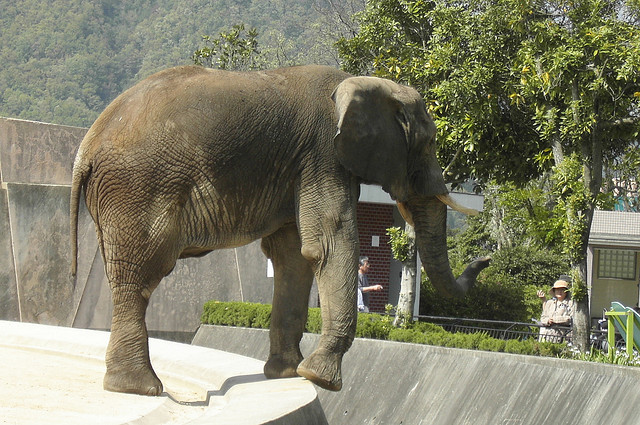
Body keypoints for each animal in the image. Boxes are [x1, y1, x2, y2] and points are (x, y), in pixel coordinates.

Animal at [70, 64, 488, 396]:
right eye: (430, 142)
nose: (485, 257)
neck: (364, 81)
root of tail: (84, 149)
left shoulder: (300, 168)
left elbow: (294, 257)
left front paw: (287, 374)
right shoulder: (323, 155)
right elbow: (330, 243)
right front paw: (320, 380)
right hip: (138, 188)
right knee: (141, 275)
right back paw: (141, 389)